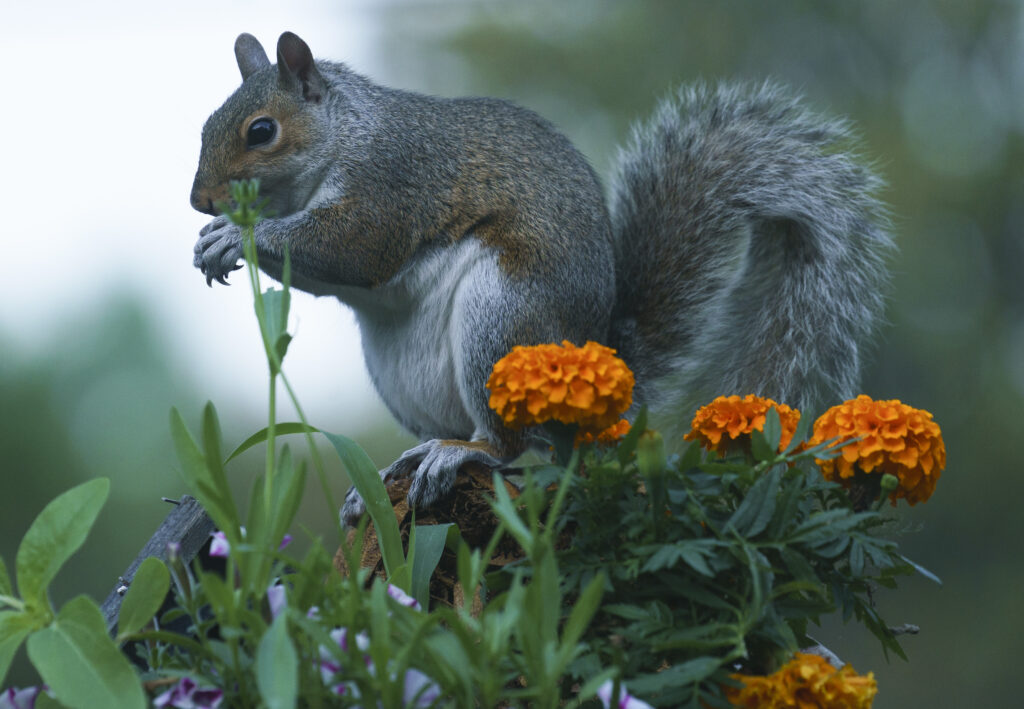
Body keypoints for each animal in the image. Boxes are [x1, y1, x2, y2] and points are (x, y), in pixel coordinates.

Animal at [190, 31, 888, 524]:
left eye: (261, 131)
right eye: (206, 125)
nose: (200, 201)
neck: (347, 133)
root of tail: (599, 379)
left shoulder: (391, 183)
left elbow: (353, 249)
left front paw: (236, 237)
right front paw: (214, 240)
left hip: (500, 323)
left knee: (510, 445)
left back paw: (463, 453)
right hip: (401, 372)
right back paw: (403, 466)